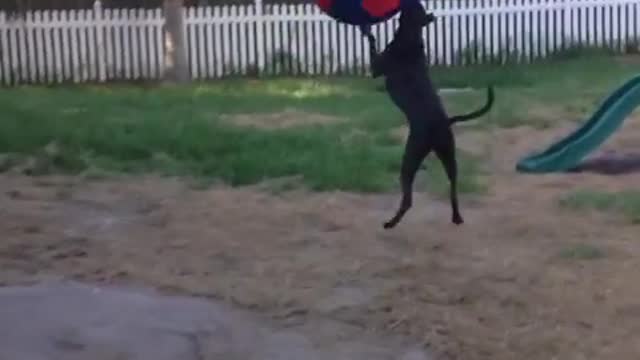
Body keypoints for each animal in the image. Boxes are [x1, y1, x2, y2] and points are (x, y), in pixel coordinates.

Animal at [360, 3, 496, 228]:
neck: (411, 34)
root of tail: (445, 122)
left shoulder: (376, 69)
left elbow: (372, 45)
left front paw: (367, 30)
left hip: (410, 158)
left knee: (408, 199)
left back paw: (391, 223)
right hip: (448, 156)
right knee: (453, 186)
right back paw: (456, 217)